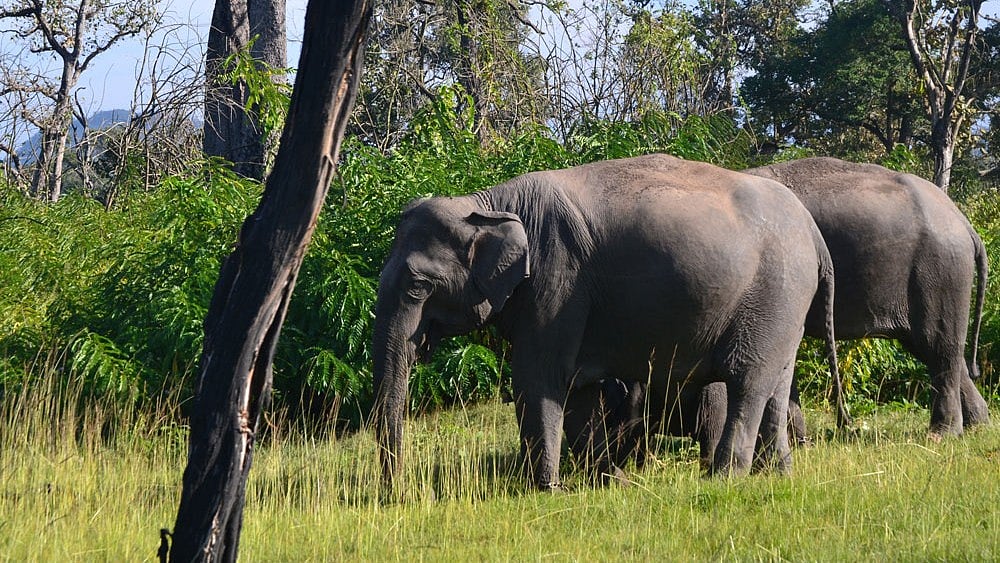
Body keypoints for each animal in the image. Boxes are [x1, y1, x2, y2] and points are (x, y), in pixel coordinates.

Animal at [372, 153, 841, 490]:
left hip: (773, 293)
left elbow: (539, 378)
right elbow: (577, 391)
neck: (486, 202)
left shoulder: (558, 281)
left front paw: (546, 490)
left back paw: (723, 479)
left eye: (417, 286)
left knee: (748, 380)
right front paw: (610, 483)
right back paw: (776, 475)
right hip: (786, 307)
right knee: (778, 381)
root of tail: (814, 235)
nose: (397, 495)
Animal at [567, 156, 990, 474]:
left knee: (938, 346)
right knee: (938, 349)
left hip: (938, 270)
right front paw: (799, 443)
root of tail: (965, 224)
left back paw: (943, 435)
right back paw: (978, 426)